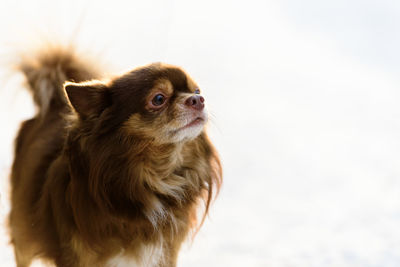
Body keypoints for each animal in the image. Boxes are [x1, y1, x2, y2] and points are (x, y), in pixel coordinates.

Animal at [8, 47, 222, 267]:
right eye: (158, 99)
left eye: (197, 92)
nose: (198, 100)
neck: (153, 176)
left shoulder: (164, 253)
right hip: (23, 233)